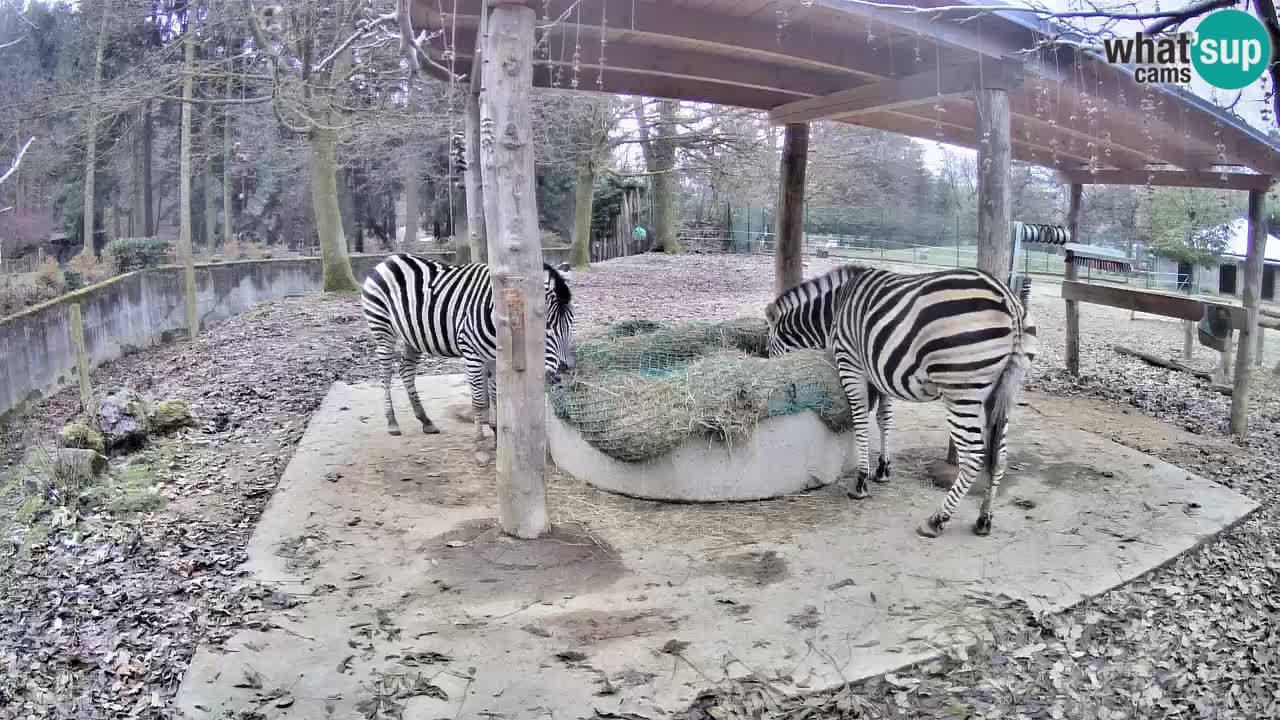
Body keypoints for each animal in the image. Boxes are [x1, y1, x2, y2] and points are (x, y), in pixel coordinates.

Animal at [360, 252, 581, 448]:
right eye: (545, 326)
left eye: (571, 324)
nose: (565, 370)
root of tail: (389, 259)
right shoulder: (472, 353)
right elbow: (479, 401)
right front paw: (480, 443)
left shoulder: (495, 357)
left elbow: (495, 396)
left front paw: (496, 436)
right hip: (382, 328)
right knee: (385, 375)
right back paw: (392, 422)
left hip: (412, 337)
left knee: (406, 372)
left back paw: (425, 420)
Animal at [762, 263, 1034, 538]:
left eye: (770, 346)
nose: (772, 367)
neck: (835, 308)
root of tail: (1008, 299)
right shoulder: (879, 370)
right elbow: (884, 419)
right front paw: (883, 469)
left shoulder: (851, 363)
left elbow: (861, 420)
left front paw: (861, 481)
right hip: (1001, 393)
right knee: (1000, 455)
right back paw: (984, 518)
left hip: (961, 390)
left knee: (974, 455)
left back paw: (936, 519)